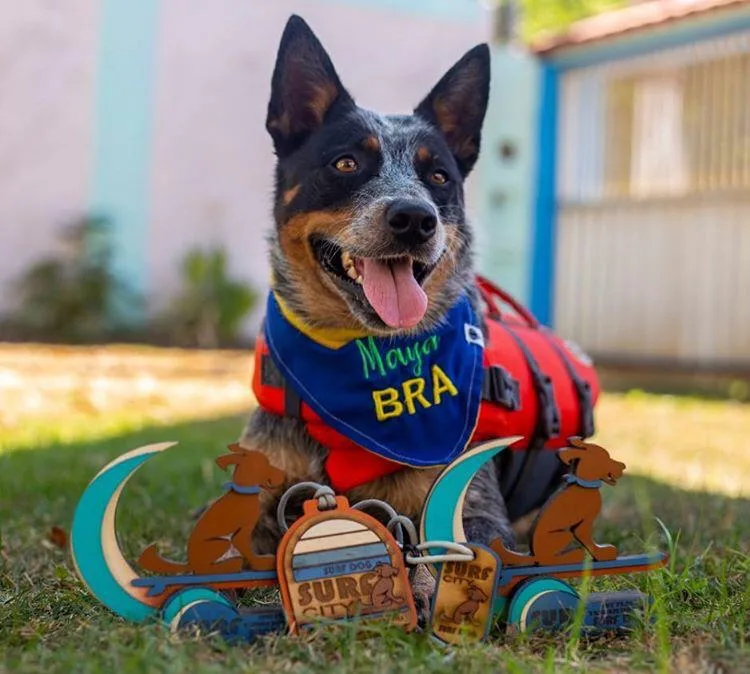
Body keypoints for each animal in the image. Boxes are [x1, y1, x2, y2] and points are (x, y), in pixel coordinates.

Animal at [138, 446, 284, 572]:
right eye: (265, 464)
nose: (283, 474)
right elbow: (249, 552)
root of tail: (190, 562)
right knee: (206, 567)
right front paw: (260, 562)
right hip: (222, 543)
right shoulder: (241, 534)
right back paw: (230, 564)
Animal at [494, 438, 628, 564]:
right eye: (606, 457)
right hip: (564, 534)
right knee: (547, 560)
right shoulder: (584, 524)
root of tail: (534, 555)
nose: (623, 466)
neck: (584, 485)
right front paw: (602, 553)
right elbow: (589, 542)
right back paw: (573, 555)